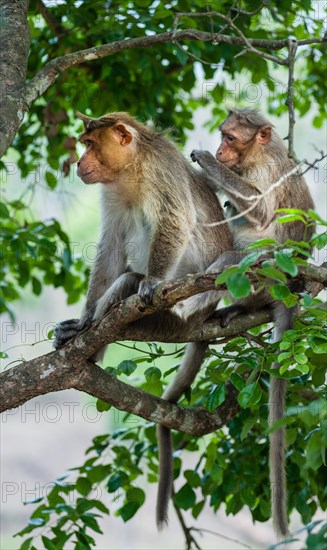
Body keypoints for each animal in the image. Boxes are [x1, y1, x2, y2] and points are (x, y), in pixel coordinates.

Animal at [52, 111, 234, 532]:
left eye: (89, 144)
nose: (79, 163)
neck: (131, 169)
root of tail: (206, 314)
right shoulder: (112, 192)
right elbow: (112, 247)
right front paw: (82, 320)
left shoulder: (159, 171)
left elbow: (175, 221)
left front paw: (148, 282)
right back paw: (84, 335)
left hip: (176, 317)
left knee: (130, 282)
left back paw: (94, 342)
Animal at [183, 109, 316, 540]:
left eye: (230, 138)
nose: (220, 149)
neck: (257, 154)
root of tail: (289, 291)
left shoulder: (266, 171)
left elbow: (258, 209)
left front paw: (206, 161)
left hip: (267, 273)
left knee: (241, 250)